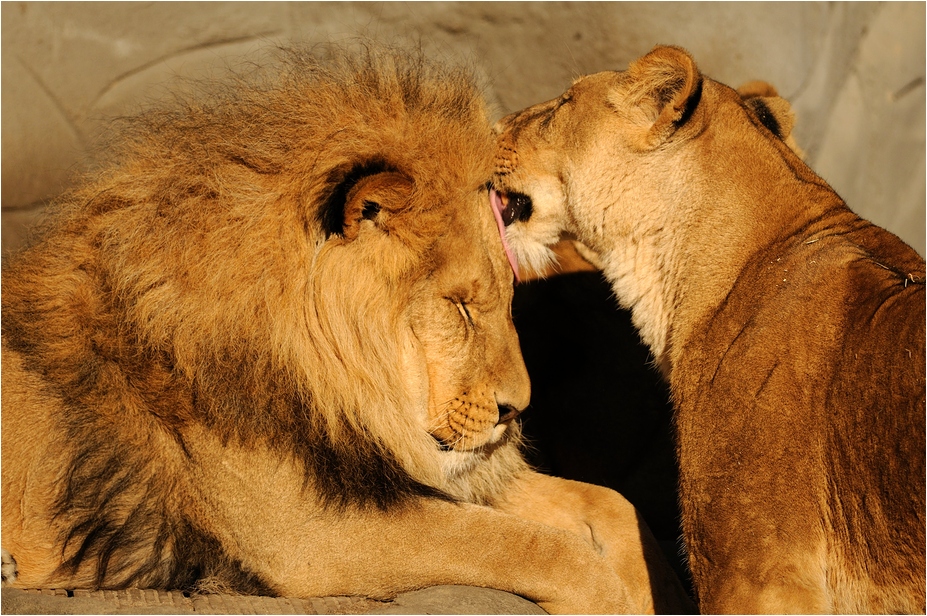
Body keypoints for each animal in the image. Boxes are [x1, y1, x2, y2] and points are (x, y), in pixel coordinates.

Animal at [0, 47, 696, 614]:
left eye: (504, 303)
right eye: (459, 306)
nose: (514, 411)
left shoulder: (393, 468)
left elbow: (611, 504)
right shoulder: (306, 533)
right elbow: (538, 550)